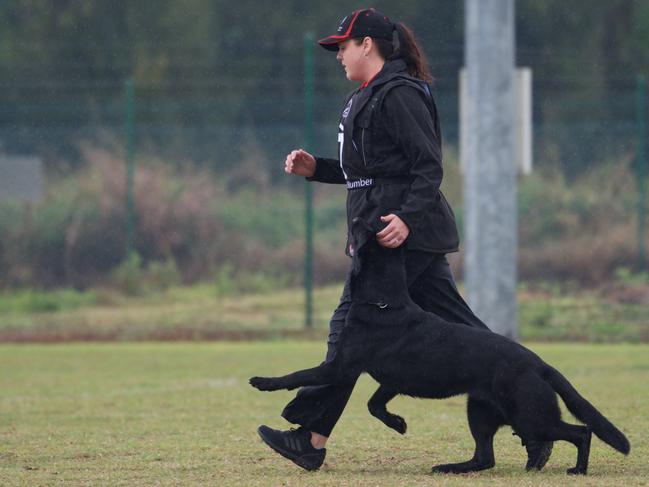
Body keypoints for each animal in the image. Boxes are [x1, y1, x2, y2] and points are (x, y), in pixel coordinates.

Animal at [251, 219, 632, 474]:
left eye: (365, 226)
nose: (357, 216)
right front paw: (398, 423)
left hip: (529, 414)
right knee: (485, 457)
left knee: (581, 431)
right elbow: (374, 405)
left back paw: (576, 469)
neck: (382, 301)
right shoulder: (389, 380)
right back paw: (454, 467)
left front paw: (262, 382)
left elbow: (298, 375)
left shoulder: (341, 367)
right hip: (481, 411)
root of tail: (540, 364)